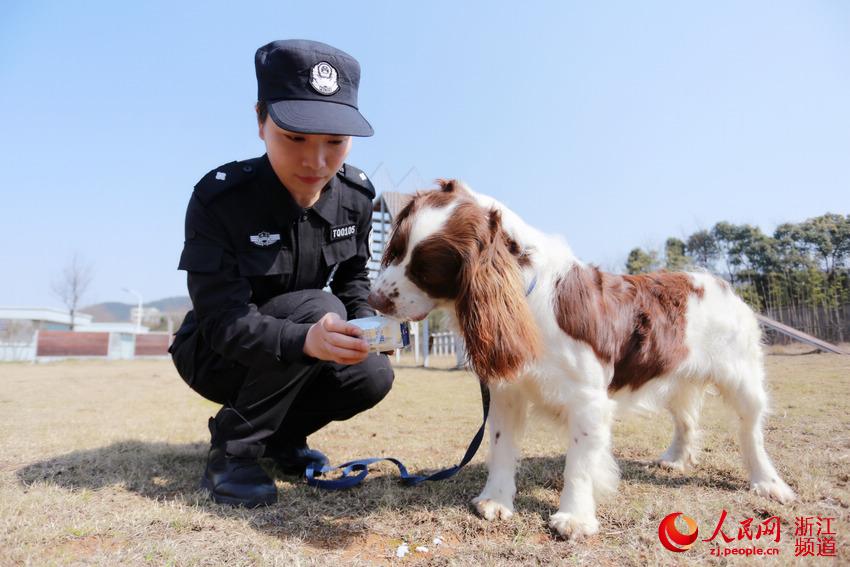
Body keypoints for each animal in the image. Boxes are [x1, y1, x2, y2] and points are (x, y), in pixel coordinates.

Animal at [370, 181, 796, 540]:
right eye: (396, 249)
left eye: (426, 269)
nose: (374, 299)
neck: (526, 299)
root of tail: (719, 282)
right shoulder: (508, 391)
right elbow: (502, 445)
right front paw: (496, 500)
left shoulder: (588, 399)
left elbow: (578, 463)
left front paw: (573, 518)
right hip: (675, 377)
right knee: (685, 418)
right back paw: (675, 459)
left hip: (741, 376)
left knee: (751, 432)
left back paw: (768, 483)